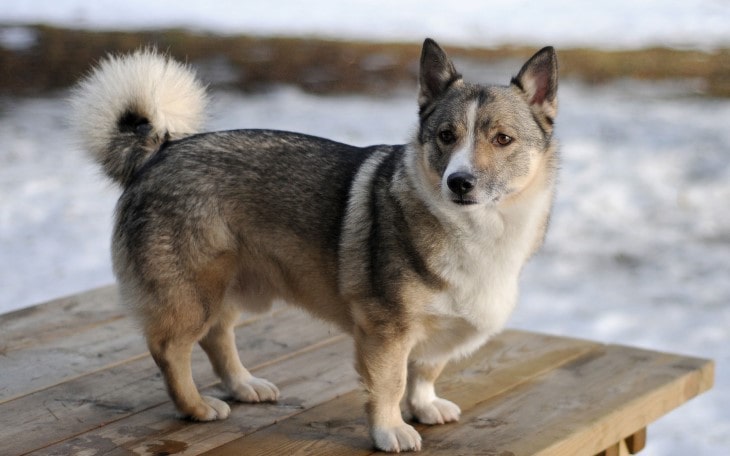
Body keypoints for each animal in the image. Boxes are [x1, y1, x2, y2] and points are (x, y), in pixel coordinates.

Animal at [71, 39, 556, 452]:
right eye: (446, 136)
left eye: (502, 139)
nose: (459, 182)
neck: (478, 228)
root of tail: (160, 151)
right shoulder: (386, 330)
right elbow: (391, 384)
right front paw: (390, 430)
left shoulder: (431, 332)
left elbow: (425, 370)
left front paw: (424, 406)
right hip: (193, 293)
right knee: (171, 349)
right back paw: (196, 407)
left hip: (228, 287)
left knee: (217, 336)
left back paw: (243, 384)